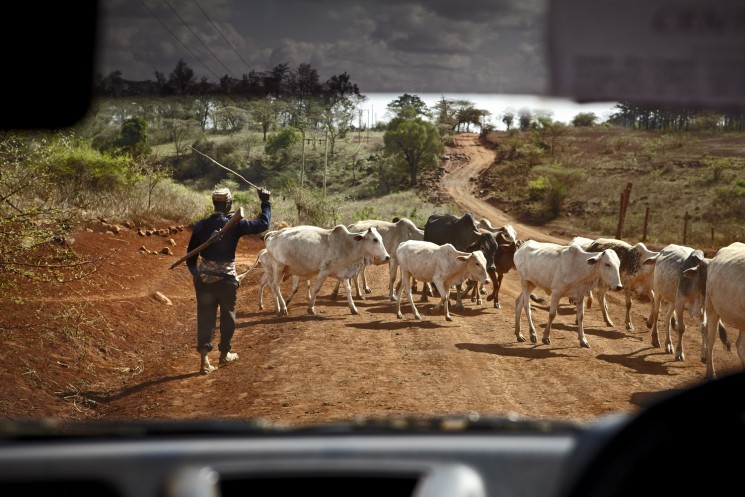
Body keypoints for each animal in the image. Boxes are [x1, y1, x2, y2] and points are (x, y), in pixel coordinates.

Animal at [262, 225, 390, 314]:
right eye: (375, 240)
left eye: (380, 239)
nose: (387, 257)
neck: (347, 245)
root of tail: (272, 234)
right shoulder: (324, 271)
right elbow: (316, 289)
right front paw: (311, 308)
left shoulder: (343, 273)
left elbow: (348, 290)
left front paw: (353, 308)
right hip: (278, 267)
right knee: (275, 286)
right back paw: (282, 307)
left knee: (273, 286)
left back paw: (278, 308)